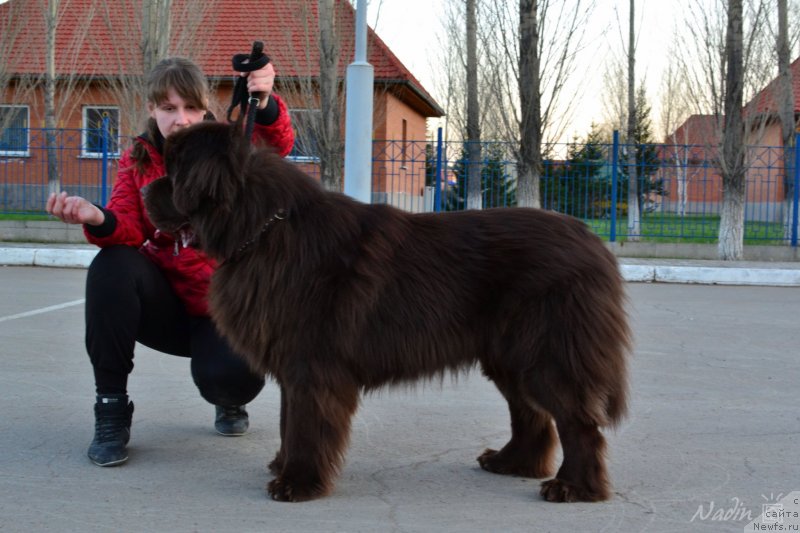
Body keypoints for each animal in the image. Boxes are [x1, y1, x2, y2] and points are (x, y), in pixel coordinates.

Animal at [144, 120, 632, 502]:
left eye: (173, 171)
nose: (145, 188)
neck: (262, 230)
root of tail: (594, 244)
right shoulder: (293, 362)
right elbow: (288, 421)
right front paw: (283, 466)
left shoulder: (311, 366)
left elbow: (304, 423)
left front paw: (297, 483)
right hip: (509, 355)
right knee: (531, 414)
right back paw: (513, 463)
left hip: (547, 353)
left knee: (577, 421)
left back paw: (574, 488)